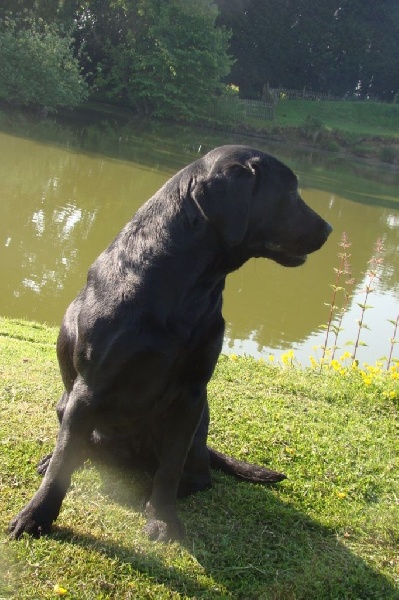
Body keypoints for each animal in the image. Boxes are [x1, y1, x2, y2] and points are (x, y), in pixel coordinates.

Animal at [10, 146, 332, 544]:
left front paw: (162, 519)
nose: (328, 229)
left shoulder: (190, 394)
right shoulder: (89, 390)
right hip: (66, 404)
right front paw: (35, 516)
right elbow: (62, 462)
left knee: (192, 475)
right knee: (78, 451)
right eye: (289, 192)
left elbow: (169, 469)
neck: (180, 285)